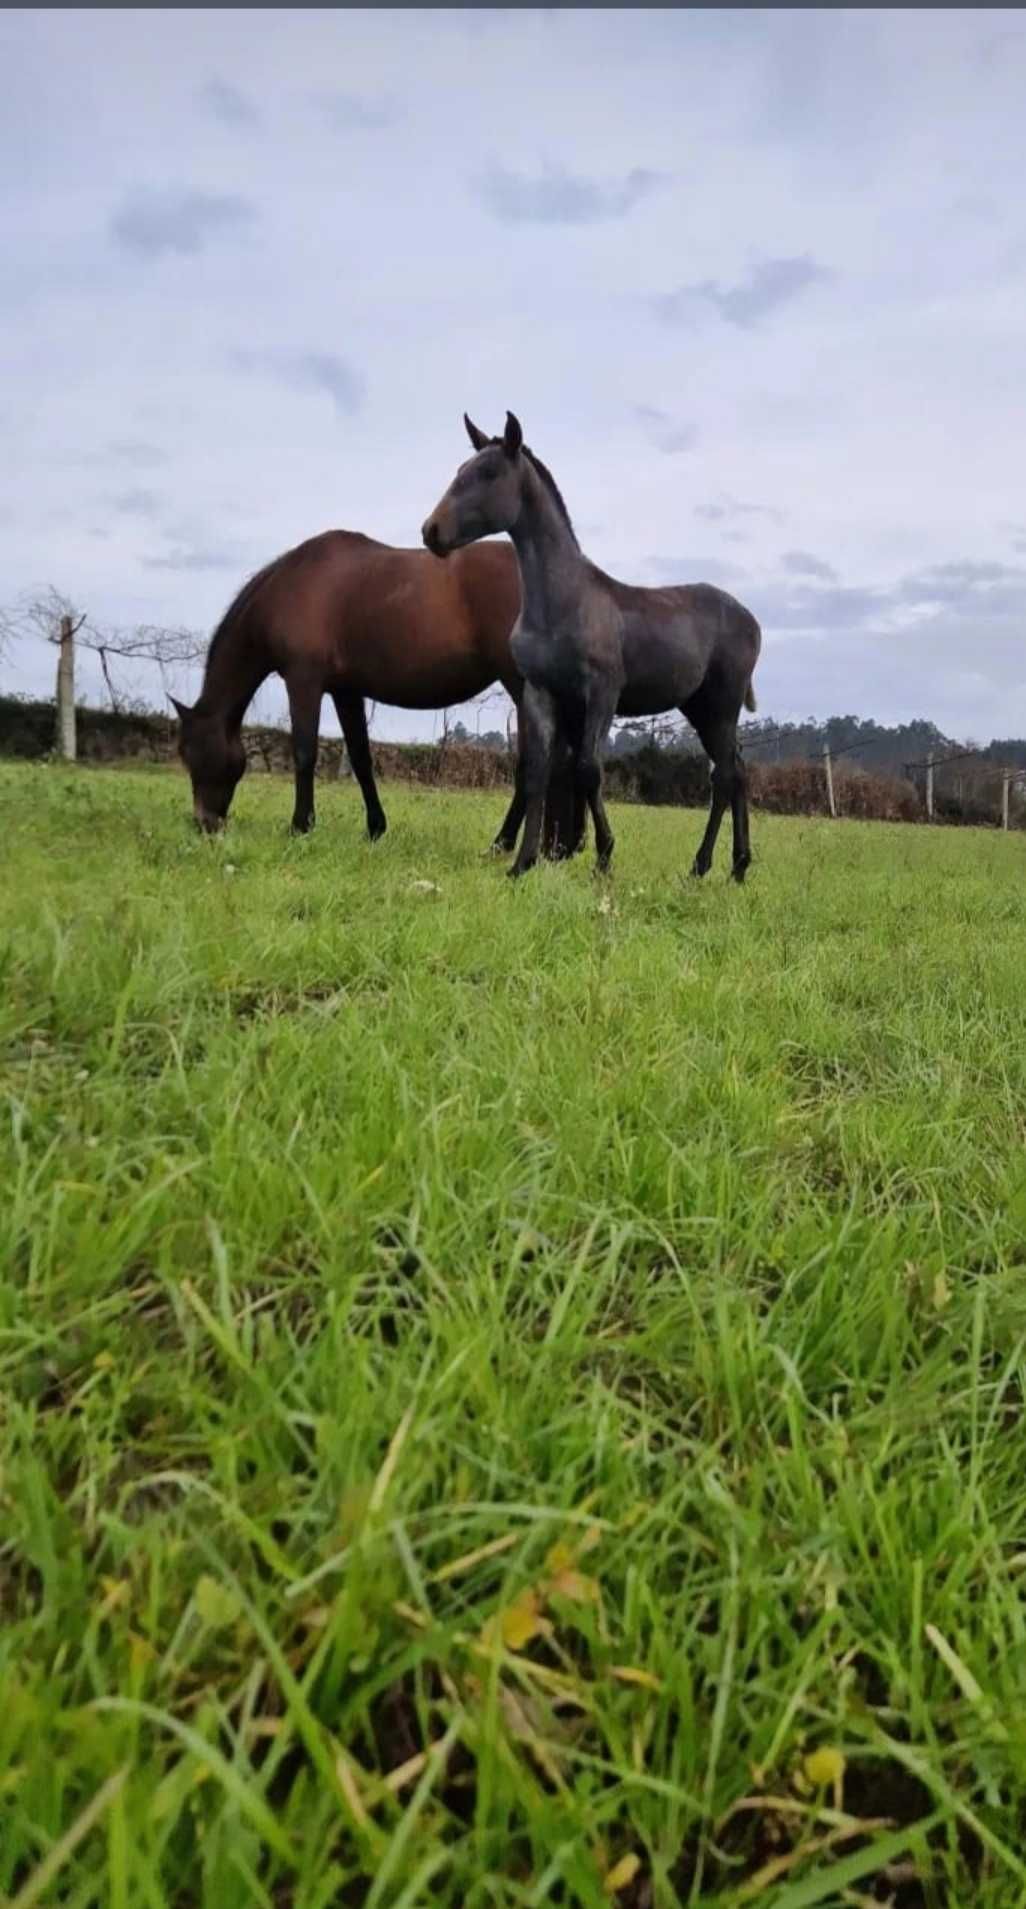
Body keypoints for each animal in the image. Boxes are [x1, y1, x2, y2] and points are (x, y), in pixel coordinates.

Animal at [171, 526, 580, 847]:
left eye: (193, 752)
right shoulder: (346, 691)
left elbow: (304, 753)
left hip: (521, 685)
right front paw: (375, 828)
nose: (204, 823)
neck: (293, 586)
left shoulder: (304, 681)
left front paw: (300, 825)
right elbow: (360, 757)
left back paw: (504, 842)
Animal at [420, 414, 764, 881]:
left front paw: (603, 857)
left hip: (722, 705)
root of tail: (751, 620)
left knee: (725, 775)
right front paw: (522, 863)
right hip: (700, 708)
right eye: (460, 469)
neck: (562, 602)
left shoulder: (601, 692)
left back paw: (706, 865)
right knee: (735, 772)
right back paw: (733, 866)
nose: (431, 531)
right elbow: (538, 772)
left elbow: (587, 770)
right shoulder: (540, 692)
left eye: (488, 473)